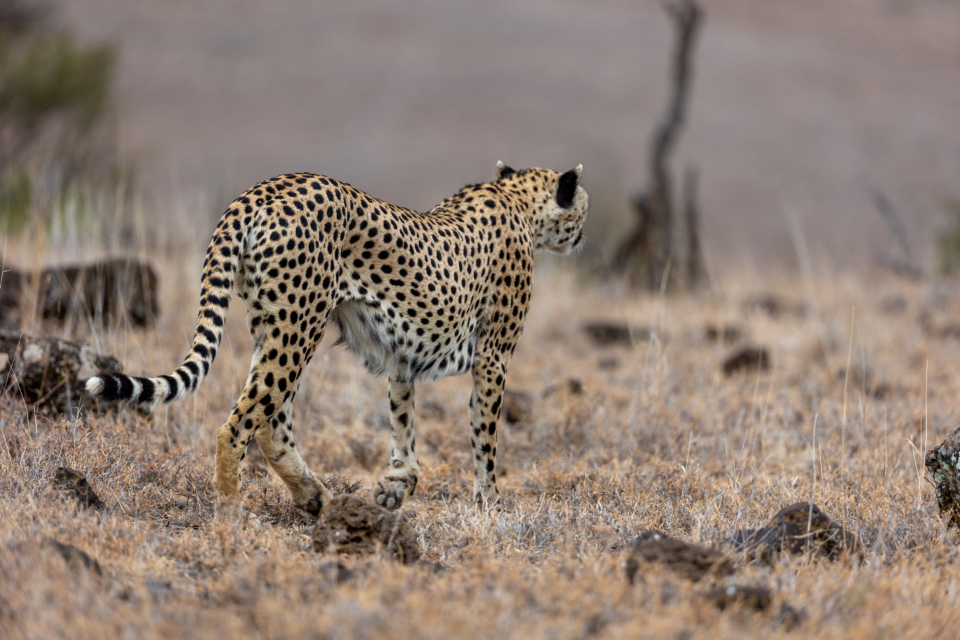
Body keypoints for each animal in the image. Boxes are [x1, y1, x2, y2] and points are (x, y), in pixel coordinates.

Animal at [86, 161, 588, 516]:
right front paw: (490, 504)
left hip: (273, 324)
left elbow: (403, 426)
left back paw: (315, 497)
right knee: (239, 424)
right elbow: (484, 435)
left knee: (271, 423)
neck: (515, 199)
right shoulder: (493, 358)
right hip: (297, 326)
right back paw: (230, 514)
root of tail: (263, 188)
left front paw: (396, 487)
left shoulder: (402, 359)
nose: (582, 236)